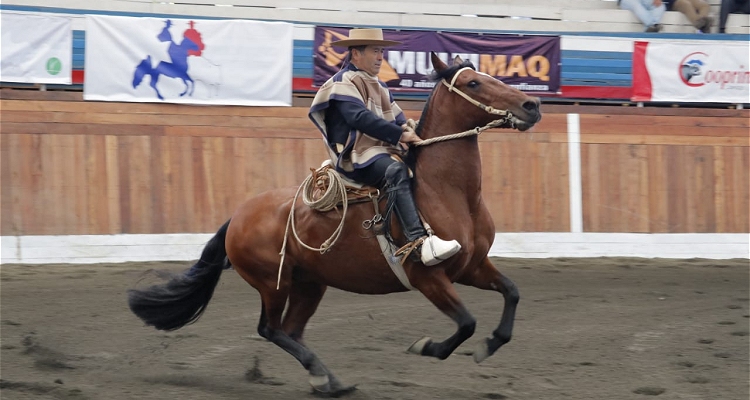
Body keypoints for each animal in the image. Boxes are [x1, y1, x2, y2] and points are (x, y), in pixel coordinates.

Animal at [129, 53, 540, 396]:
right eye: (473, 83)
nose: (531, 106)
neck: (446, 192)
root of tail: (238, 217)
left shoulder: (471, 266)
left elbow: (512, 292)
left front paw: (490, 344)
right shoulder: (429, 277)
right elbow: (466, 323)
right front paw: (427, 346)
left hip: (310, 284)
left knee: (290, 330)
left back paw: (328, 380)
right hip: (273, 283)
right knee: (270, 329)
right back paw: (322, 375)